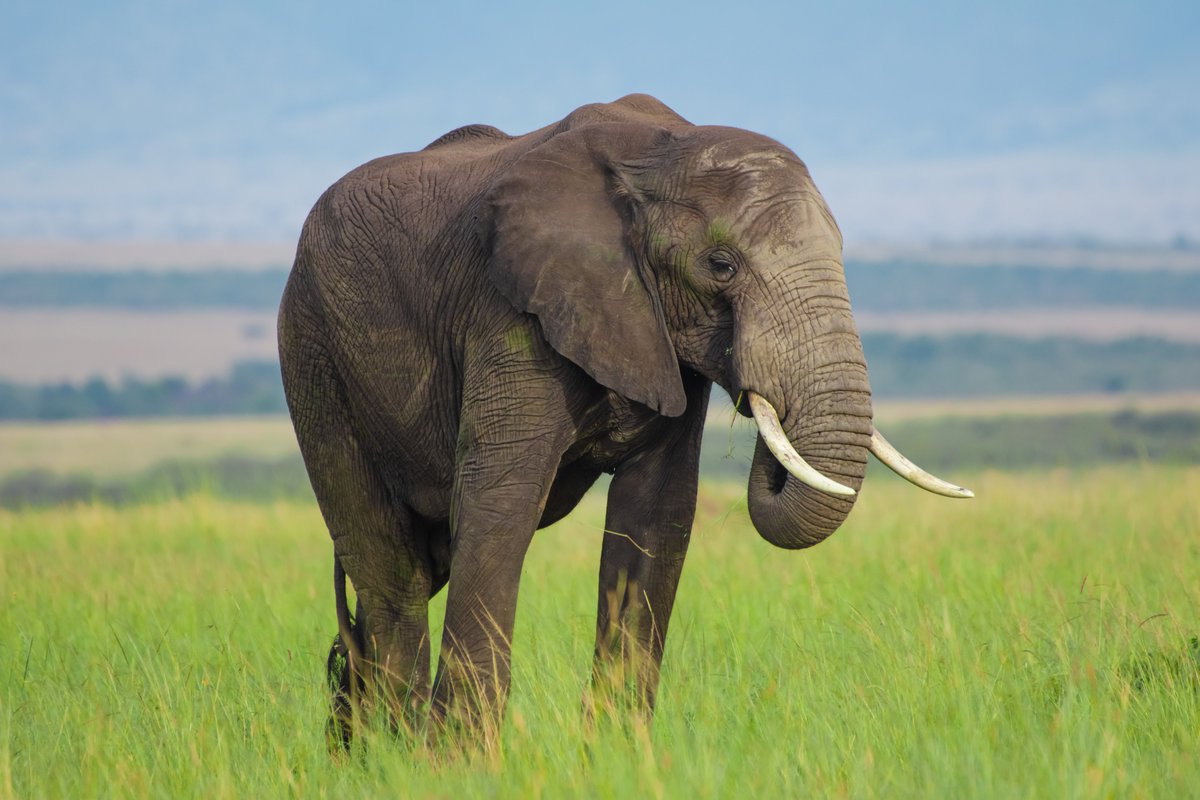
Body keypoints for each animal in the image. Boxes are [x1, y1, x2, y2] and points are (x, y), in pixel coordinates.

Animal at [276, 95, 969, 753]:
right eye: (721, 265)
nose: (759, 398)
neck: (661, 152)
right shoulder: (512, 313)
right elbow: (499, 505)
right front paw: (462, 764)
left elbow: (657, 515)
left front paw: (618, 757)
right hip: (313, 354)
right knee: (391, 569)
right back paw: (391, 753)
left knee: (414, 566)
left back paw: (353, 747)